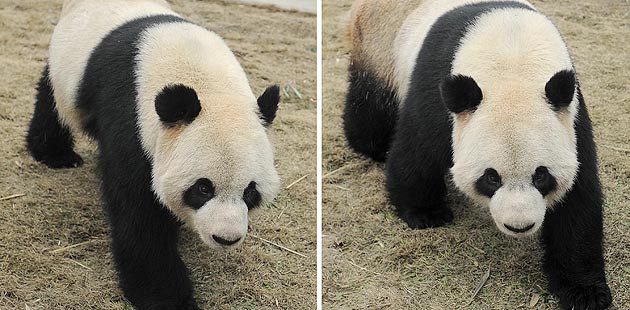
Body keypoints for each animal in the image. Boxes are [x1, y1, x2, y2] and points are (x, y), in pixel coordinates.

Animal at [25, 1, 280, 308]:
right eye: (203, 188)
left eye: (250, 192)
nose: (226, 238)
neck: (207, 83)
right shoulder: (132, 121)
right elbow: (140, 217)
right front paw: (168, 298)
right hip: (67, 68)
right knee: (52, 101)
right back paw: (56, 155)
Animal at [344, 1, 616, 308]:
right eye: (491, 178)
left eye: (541, 176)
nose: (519, 226)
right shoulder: (437, 90)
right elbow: (417, 150)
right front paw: (426, 213)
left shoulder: (570, 116)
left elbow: (578, 201)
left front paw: (584, 292)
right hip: (379, 50)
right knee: (371, 112)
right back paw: (374, 146)